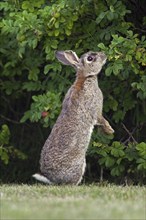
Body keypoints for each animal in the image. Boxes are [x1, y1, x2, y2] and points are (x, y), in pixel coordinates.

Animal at [33, 49, 114, 184]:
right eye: (90, 58)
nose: (104, 55)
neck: (85, 77)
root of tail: (53, 179)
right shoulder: (96, 110)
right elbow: (101, 119)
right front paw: (110, 131)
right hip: (80, 164)